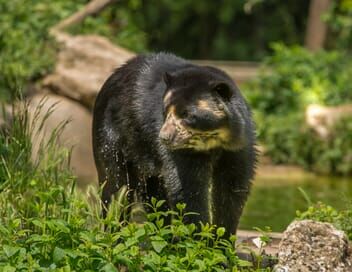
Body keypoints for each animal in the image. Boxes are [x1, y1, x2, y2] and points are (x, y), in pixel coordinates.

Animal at [92, 53, 258, 234]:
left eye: (187, 114)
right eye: (165, 112)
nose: (164, 137)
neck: (213, 140)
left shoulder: (237, 148)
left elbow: (232, 189)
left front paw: (223, 237)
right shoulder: (182, 152)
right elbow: (188, 188)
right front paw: (198, 236)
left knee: (154, 196)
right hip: (112, 134)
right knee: (115, 185)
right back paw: (114, 230)